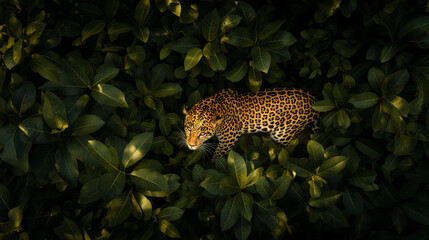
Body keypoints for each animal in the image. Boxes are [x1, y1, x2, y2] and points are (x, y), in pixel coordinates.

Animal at [181, 87, 318, 162]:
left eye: (202, 134)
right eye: (189, 129)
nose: (191, 145)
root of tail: (313, 99)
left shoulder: (228, 139)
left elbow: (218, 155)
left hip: (283, 133)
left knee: (289, 146)